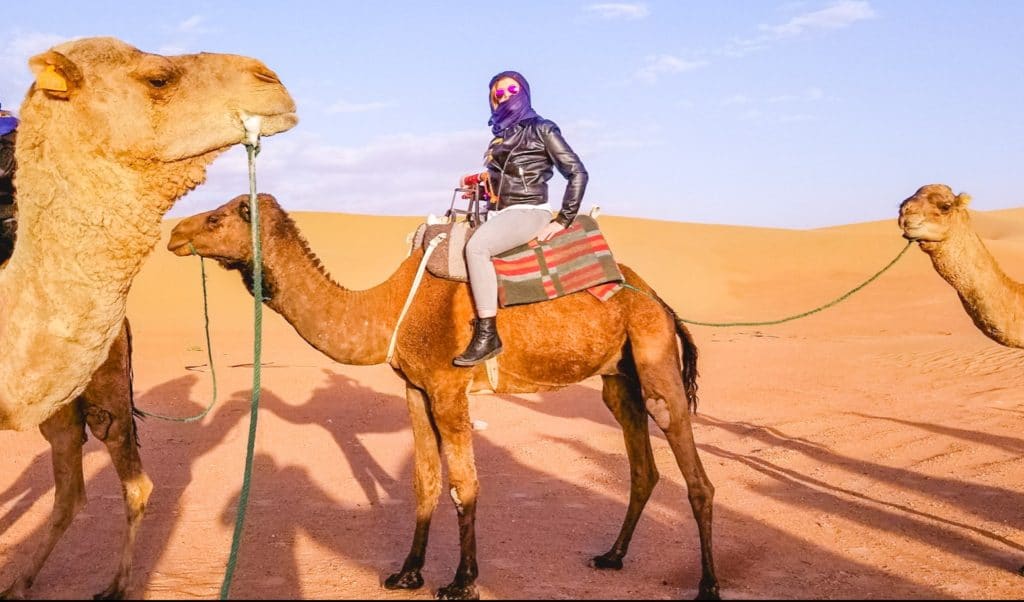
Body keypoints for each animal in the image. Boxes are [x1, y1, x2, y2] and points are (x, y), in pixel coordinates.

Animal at [167, 195, 720, 597]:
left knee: (693, 471)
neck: (388, 309)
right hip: (618, 379)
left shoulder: (450, 388)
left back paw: (708, 584)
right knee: (643, 467)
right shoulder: (416, 388)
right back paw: (611, 556)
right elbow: (425, 480)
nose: (174, 233)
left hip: (654, 355)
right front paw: (407, 573)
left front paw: (462, 581)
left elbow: (465, 483)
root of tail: (658, 298)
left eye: (215, 218)